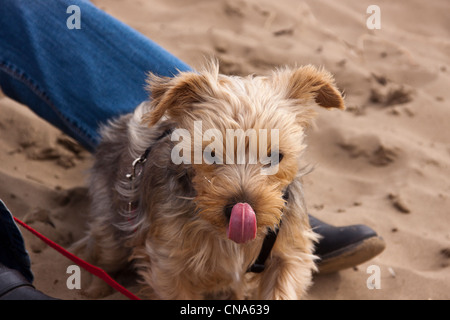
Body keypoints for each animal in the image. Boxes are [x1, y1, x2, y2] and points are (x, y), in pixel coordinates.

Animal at [75, 61, 344, 298]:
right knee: (102, 251)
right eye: (210, 153)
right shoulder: (168, 263)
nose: (241, 209)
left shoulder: (291, 254)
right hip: (112, 217)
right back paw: (94, 287)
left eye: (276, 156)